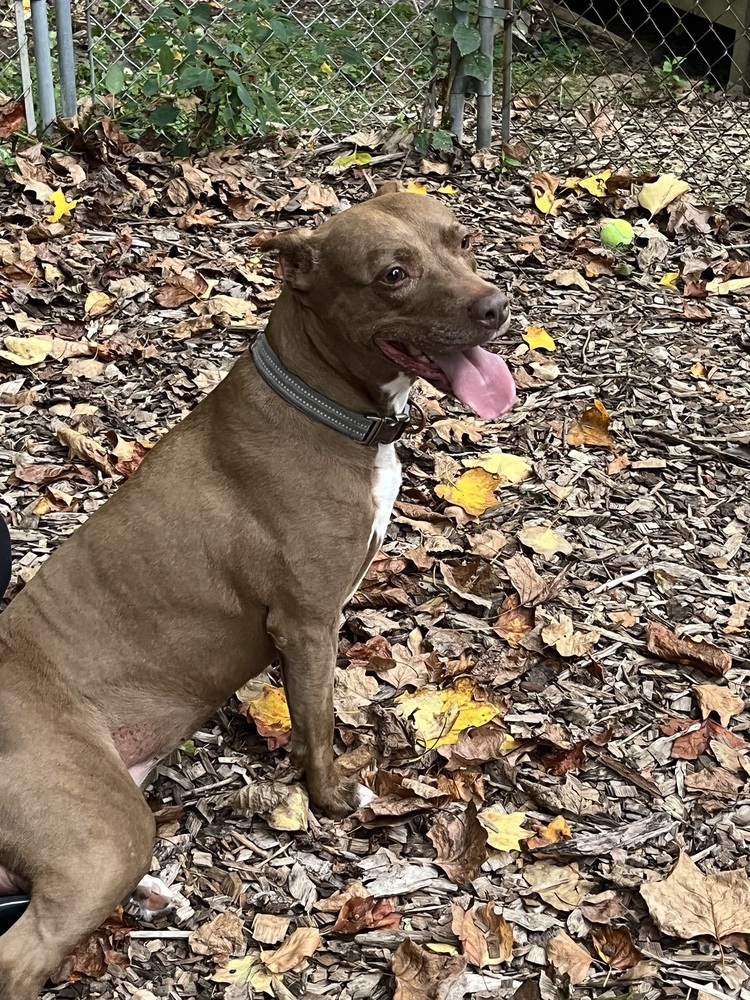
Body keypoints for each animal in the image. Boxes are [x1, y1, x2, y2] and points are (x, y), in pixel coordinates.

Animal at [0, 184, 516, 996]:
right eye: (392, 275)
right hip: (101, 831)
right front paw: (334, 797)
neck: (321, 398)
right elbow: (316, 721)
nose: (495, 305)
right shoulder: (306, 621)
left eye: (461, 240)